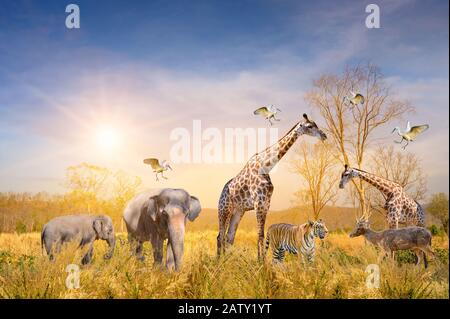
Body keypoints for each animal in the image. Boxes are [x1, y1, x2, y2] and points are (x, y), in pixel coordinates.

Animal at [216, 114, 326, 260]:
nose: (324, 135)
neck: (266, 166)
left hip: (238, 211)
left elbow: (262, 234)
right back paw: (218, 261)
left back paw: (226, 261)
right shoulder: (258, 203)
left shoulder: (266, 204)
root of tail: (222, 193)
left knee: (229, 237)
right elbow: (260, 234)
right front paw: (260, 262)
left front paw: (262, 260)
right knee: (220, 236)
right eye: (309, 126)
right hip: (224, 209)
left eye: (316, 124)